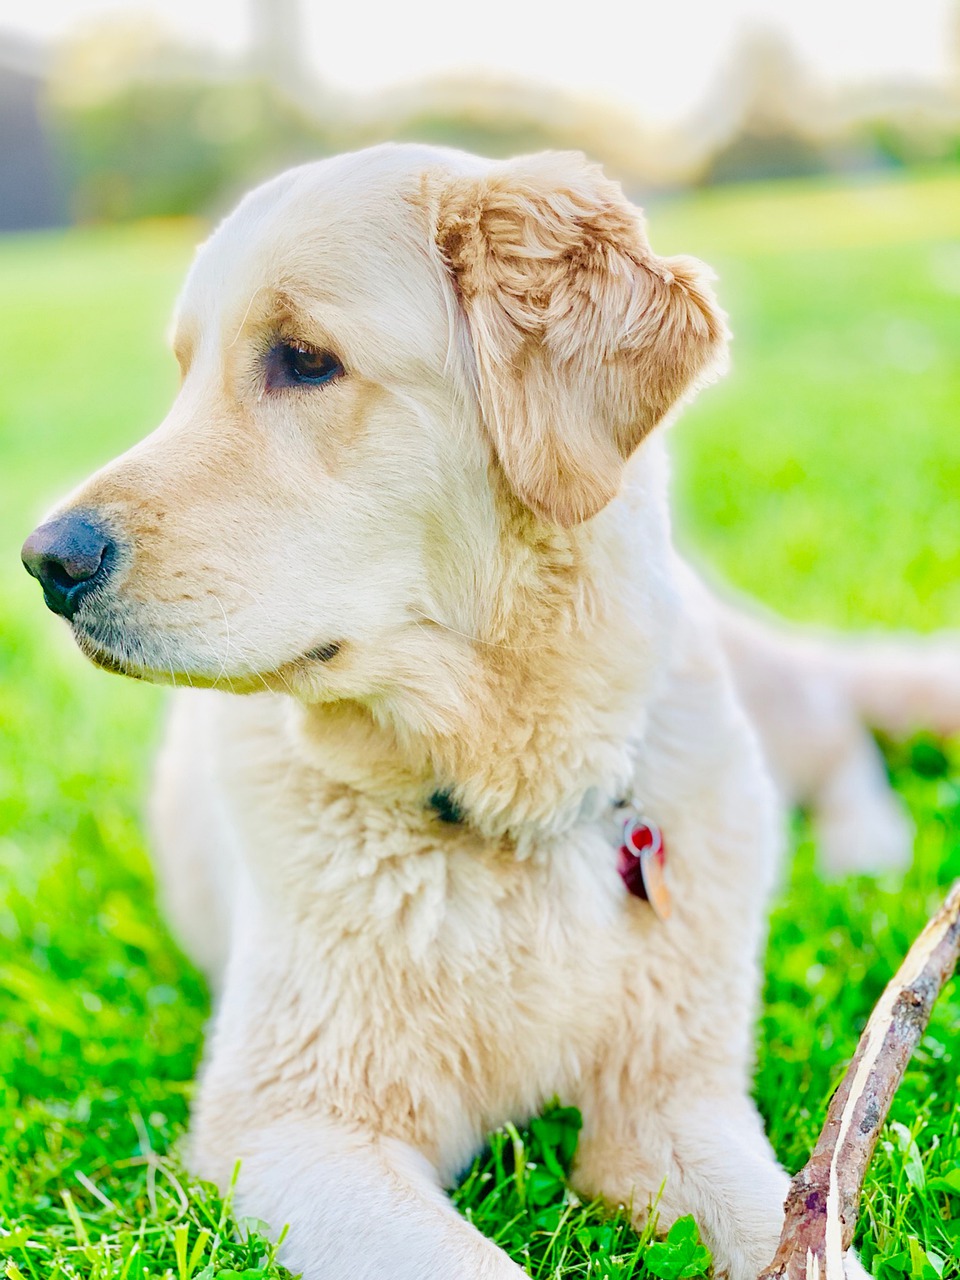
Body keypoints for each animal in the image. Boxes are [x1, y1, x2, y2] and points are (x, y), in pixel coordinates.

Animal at [18, 145, 957, 1274]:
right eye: (185, 372)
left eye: (305, 359)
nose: (46, 561)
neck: (505, 811)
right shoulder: (298, 1125)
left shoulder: (671, 1101)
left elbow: (799, 1228)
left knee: (839, 723)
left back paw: (864, 850)